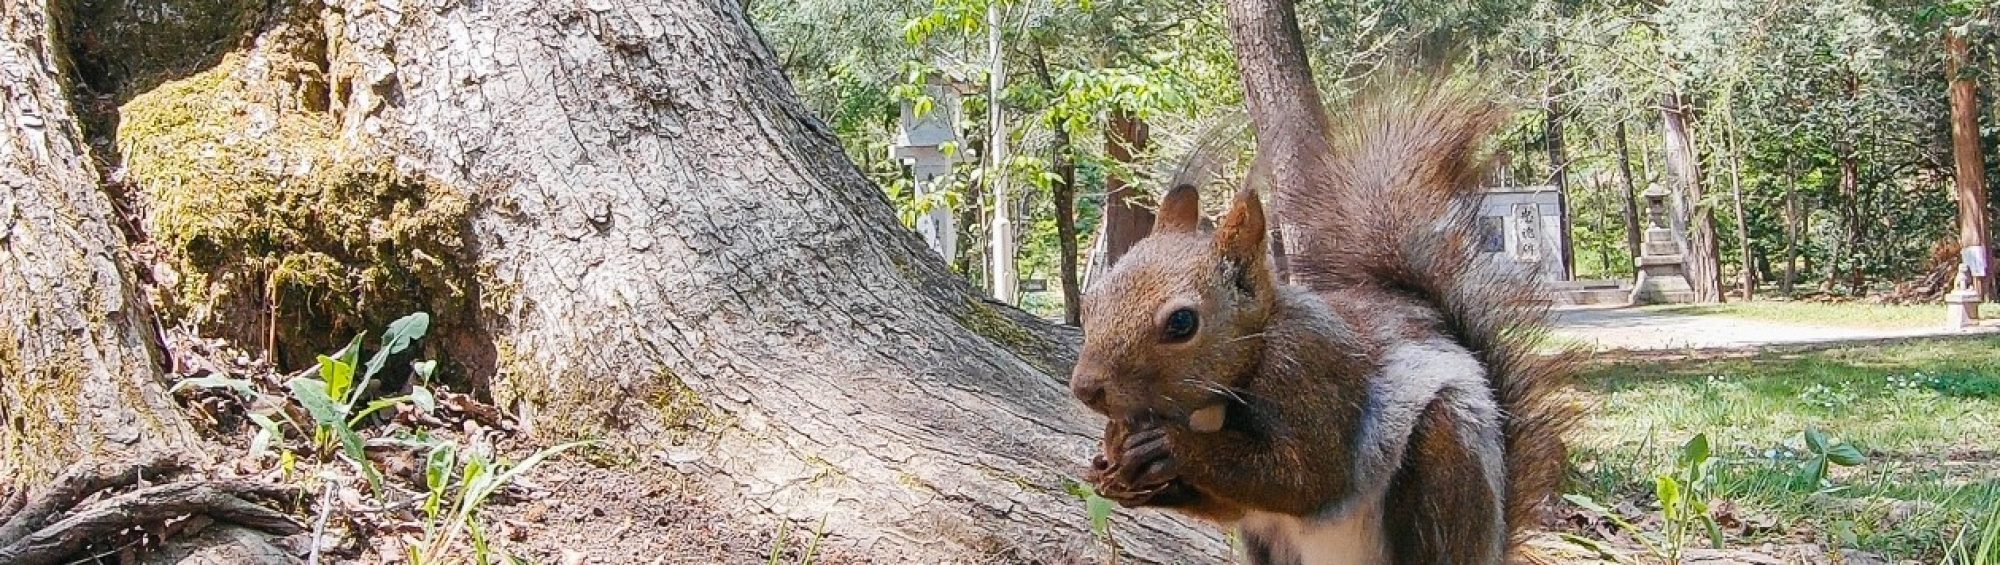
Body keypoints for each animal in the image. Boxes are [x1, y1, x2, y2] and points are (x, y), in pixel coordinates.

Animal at [1072, 80, 1568, 565]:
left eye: (1181, 323)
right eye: (1091, 301)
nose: (1085, 388)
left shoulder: (1310, 374)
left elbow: (1309, 478)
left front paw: (1171, 445)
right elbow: (1230, 505)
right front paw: (1110, 468)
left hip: (1445, 463)